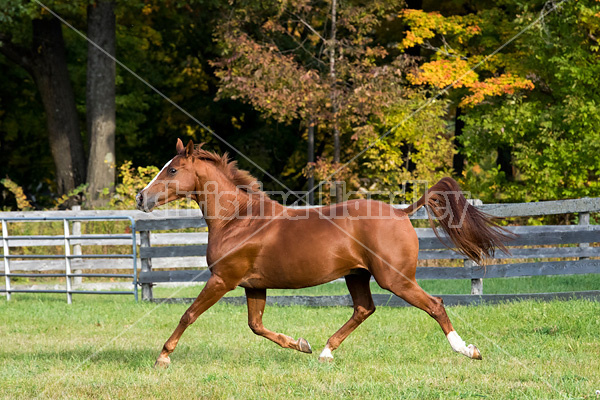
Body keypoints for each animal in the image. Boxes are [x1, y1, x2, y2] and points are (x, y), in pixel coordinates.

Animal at [137, 139, 510, 368]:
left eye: (172, 170)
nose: (141, 198)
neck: (238, 220)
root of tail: (401, 212)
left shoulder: (222, 279)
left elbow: (188, 314)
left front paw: (162, 357)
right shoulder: (254, 285)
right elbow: (256, 326)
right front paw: (301, 344)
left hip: (395, 278)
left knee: (434, 304)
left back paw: (468, 350)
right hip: (357, 274)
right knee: (364, 309)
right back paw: (326, 352)